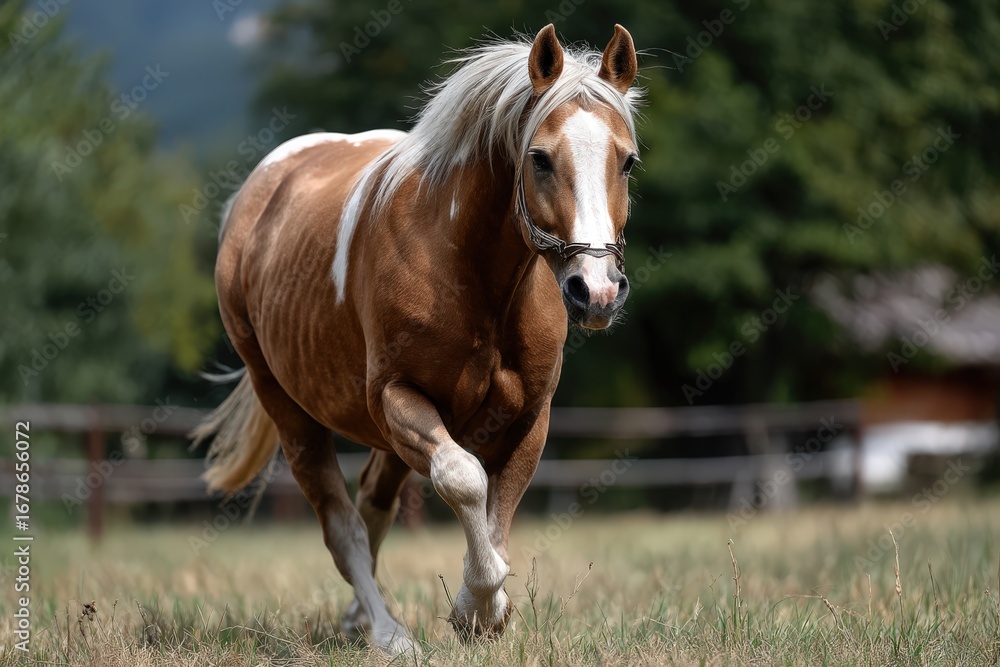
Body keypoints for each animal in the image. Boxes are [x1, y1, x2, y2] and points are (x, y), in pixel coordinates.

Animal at [192, 24, 641, 654]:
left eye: (627, 162)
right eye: (540, 158)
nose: (595, 291)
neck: (474, 276)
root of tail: (258, 193)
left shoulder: (530, 416)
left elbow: (497, 514)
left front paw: (486, 611)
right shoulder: (398, 398)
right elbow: (464, 481)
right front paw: (477, 609)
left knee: (372, 505)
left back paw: (359, 619)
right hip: (291, 413)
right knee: (344, 527)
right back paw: (386, 633)